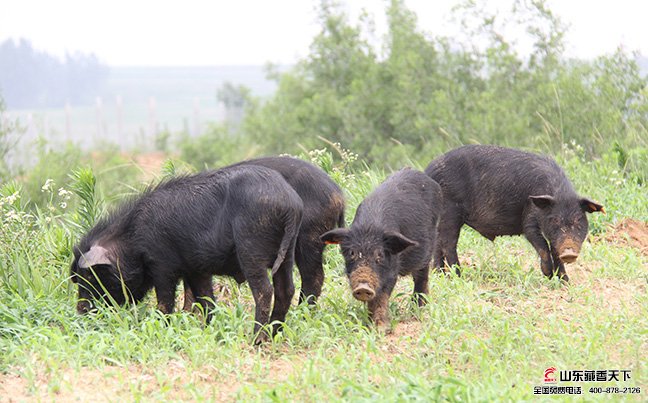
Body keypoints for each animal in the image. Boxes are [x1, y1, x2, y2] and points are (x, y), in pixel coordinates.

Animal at [69, 165, 302, 344]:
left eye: (90, 276)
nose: (80, 311)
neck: (132, 240)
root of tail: (290, 204)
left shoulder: (162, 265)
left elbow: (165, 301)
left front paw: (161, 326)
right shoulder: (196, 270)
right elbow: (206, 300)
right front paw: (206, 330)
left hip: (251, 247)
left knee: (264, 290)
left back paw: (255, 340)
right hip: (288, 252)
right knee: (286, 289)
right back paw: (274, 335)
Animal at [318, 169, 440, 330]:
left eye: (379, 254)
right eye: (352, 253)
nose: (363, 287)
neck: (369, 228)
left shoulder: (391, 270)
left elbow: (382, 295)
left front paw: (381, 328)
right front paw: (369, 324)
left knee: (422, 277)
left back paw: (417, 312)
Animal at [426, 144, 604, 280]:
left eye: (579, 219)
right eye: (554, 220)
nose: (569, 252)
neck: (559, 193)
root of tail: (429, 170)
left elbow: (554, 249)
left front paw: (565, 282)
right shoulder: (529, 216)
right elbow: (541, 245)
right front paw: (547, 274)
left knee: (438, 243)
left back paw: (440, 275)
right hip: (450, 212)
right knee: (448, 244)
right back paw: (458, 275)